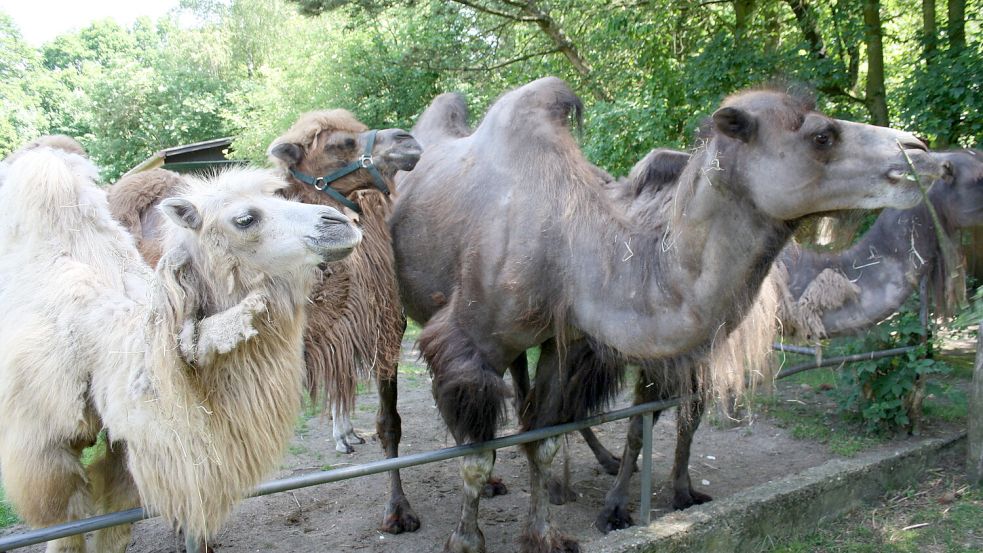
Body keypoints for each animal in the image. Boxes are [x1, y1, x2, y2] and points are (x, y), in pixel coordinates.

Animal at [388, 78, 940, 552]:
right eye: (822, 135)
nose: (921, 150)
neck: (568, 246)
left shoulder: (566, 340)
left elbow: (543, 439)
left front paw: (543, 536)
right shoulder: (470, 343)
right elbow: (476, 457)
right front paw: (466, 541)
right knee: (391, 414)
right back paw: (400, 513)